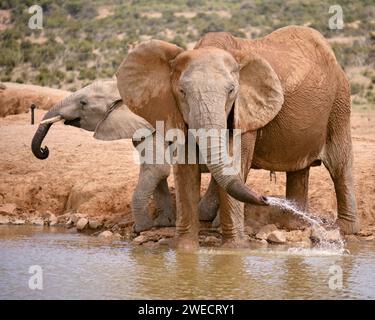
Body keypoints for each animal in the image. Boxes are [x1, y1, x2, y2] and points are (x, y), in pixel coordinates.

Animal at [116, 26, 360, 249]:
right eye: (182, 92)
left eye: (232, 91)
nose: (265, 198)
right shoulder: (175, 110)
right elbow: (186, 168)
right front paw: (184, 250)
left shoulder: (244, 110)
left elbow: (234, 161)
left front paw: (234, 249)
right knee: (299, 168)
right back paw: (294, 225)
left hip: (340, 101)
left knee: (339, 164)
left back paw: (345, 229)